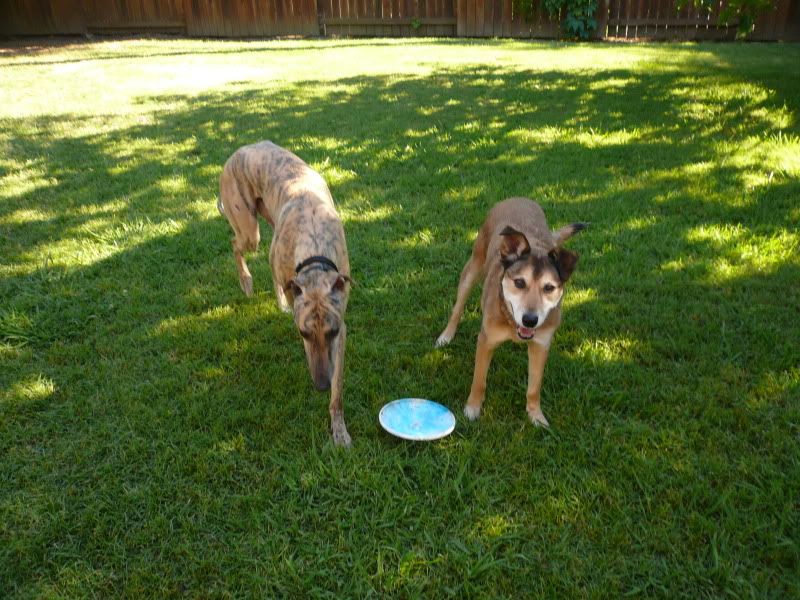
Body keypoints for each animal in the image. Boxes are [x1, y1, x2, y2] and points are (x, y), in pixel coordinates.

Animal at [220, 143, 354, 448]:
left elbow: (339, 388)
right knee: (235, 243)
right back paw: (246, 281)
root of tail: (240, 150)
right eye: (303, 333)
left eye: (331, 332)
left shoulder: (341, 327)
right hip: (249, 229)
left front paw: (339, 429)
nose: (321, 385)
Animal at [434, 199, 584, 428]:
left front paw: (536, 415)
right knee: (457, 308)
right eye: (519, 282)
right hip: (473, 267)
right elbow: (479, 380)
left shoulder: (541, 345)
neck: (512, 323)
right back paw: (446, 336)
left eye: (549, 288)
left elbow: (534, 388)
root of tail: (518, 198)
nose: (530, 320)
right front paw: (472, 409)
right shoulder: (486, 340)